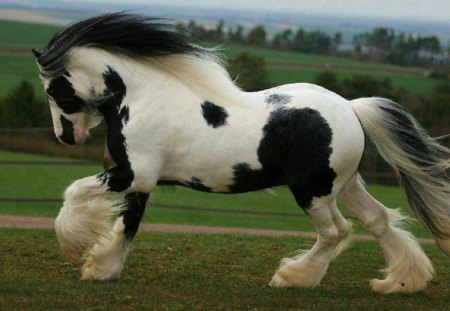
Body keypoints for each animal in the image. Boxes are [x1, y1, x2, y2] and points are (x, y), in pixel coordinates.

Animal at [32, 12, 450, 294]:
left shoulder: (134, 173)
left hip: (312, 190)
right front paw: (102, 268)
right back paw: (400, 281)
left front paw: (77, 250)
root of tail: (351, 108)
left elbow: (74, 193)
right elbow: (127, 225)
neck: (144, 97)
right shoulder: (140, 180)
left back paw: (292, 277)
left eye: (52, 90)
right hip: (344, 184)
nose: (66, 137)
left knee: (336, 231)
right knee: (377, 220)